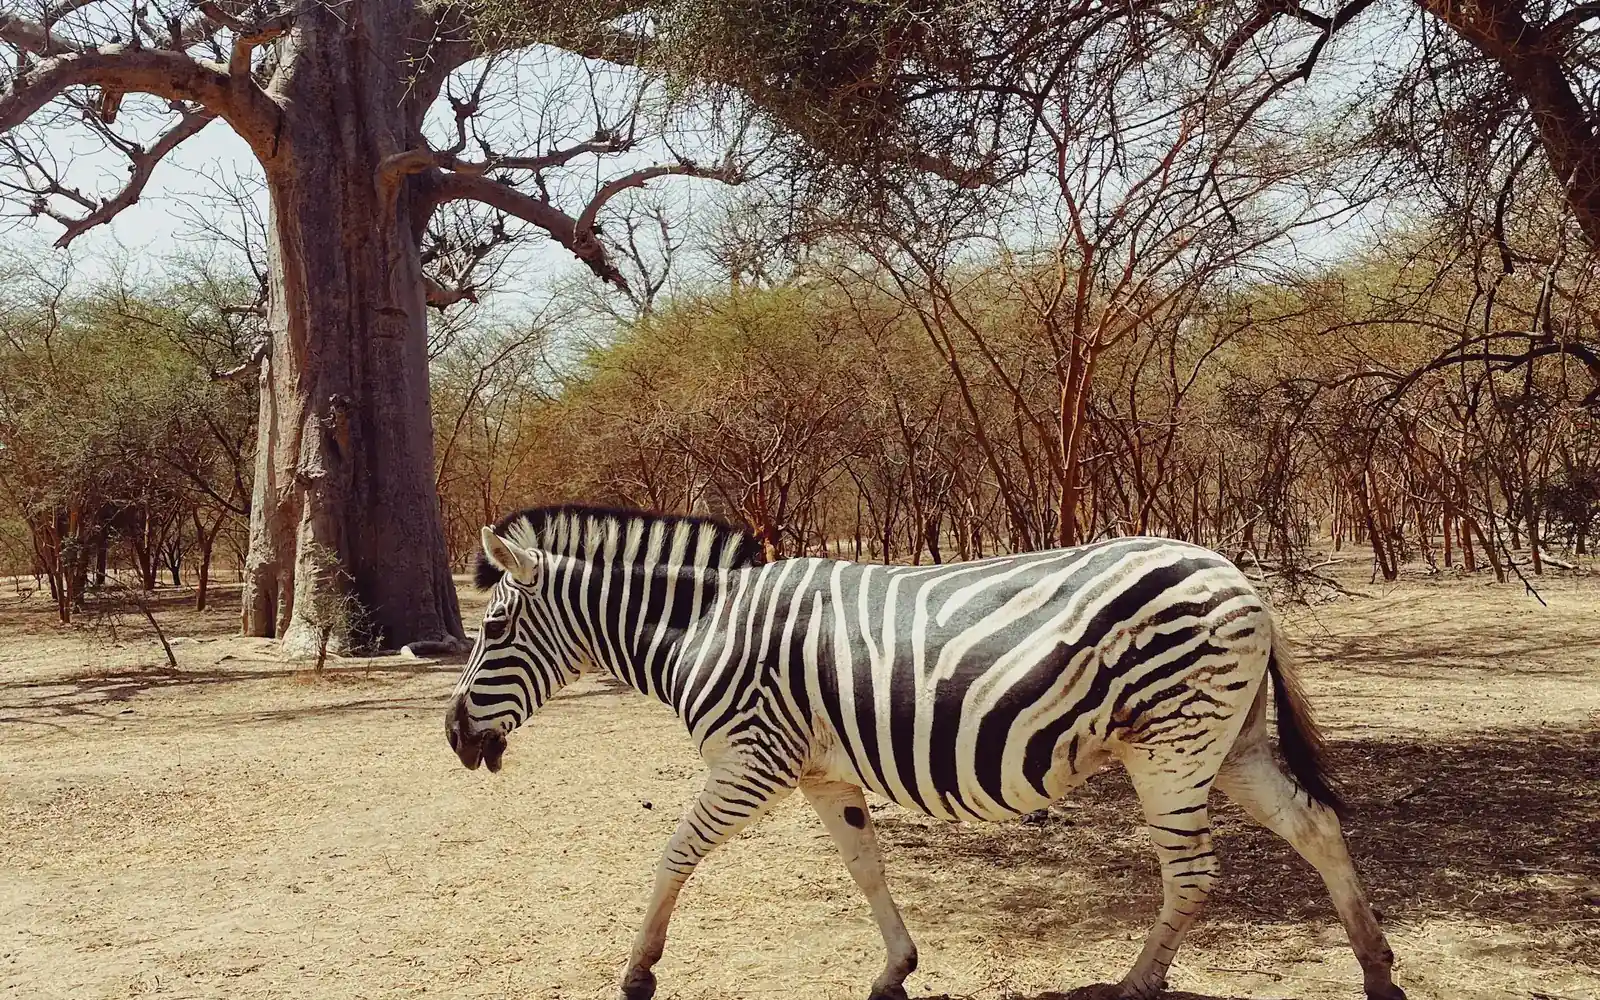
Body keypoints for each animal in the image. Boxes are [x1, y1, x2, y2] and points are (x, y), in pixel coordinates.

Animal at [445, 504, 1405, 1000]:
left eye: (493, 631)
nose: (454, 737)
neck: (706, 627)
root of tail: (1238, 574)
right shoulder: (820, 773)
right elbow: (867, 867)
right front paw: (895, 971)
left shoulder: (751, 761)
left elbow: (674, 853)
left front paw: (639, 970)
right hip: (1226, 742)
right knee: (1316, 826)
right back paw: (1377, 969)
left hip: (1171, 747)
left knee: (1194, 875)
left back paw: (1131, 985)